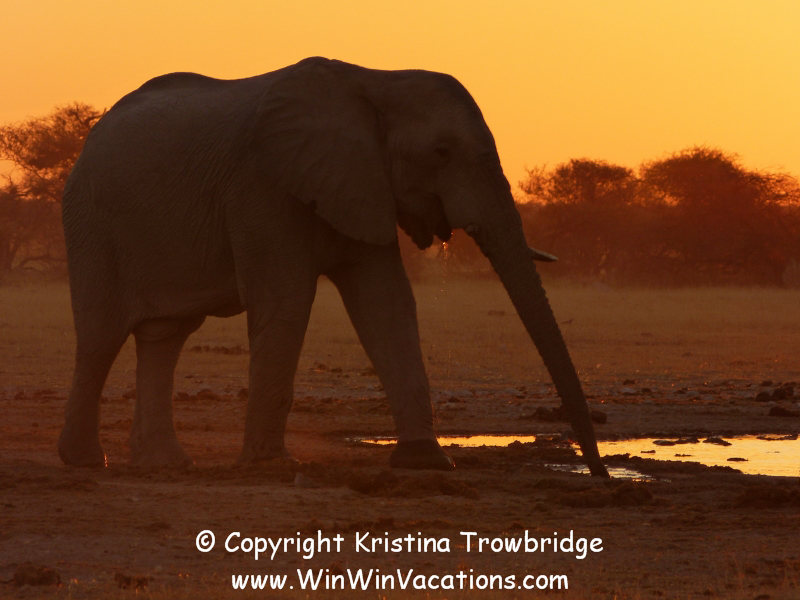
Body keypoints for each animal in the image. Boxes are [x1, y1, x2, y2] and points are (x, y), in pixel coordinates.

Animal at [58, 57, 608, 477]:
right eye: (441, 152)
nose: (598, 473)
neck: (375, 80)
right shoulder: (263, 185)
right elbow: (287, 300)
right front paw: (273, 469)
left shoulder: (363, 184)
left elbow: (387, 303)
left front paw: (425, 464)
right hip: (92, 220)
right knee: (102, 335)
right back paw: (86, 464)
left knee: (165, 336)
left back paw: (166, 466)